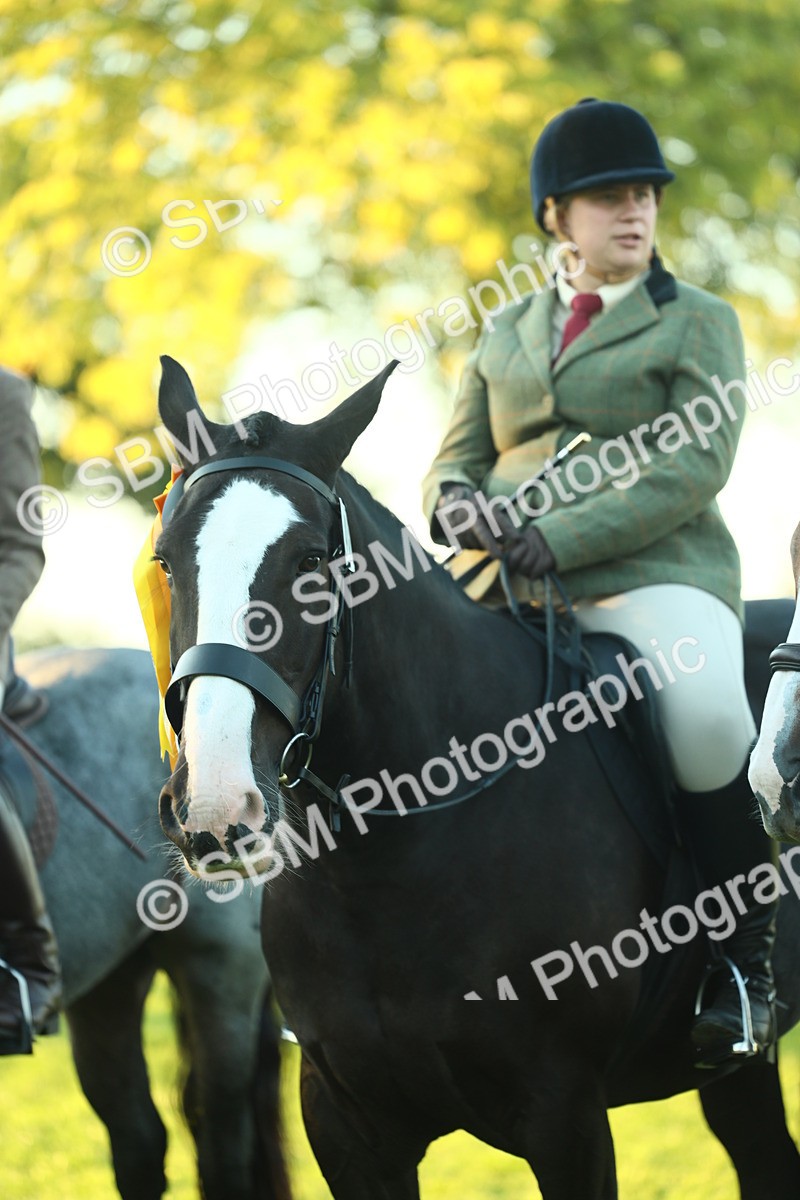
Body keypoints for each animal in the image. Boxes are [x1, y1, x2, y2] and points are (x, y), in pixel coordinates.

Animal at [154, 352, 800, 1200]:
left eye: (311, 564)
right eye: (167, 561)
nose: (215, 806)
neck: (383, 861)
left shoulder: (565, 1116)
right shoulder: (346, 1125)